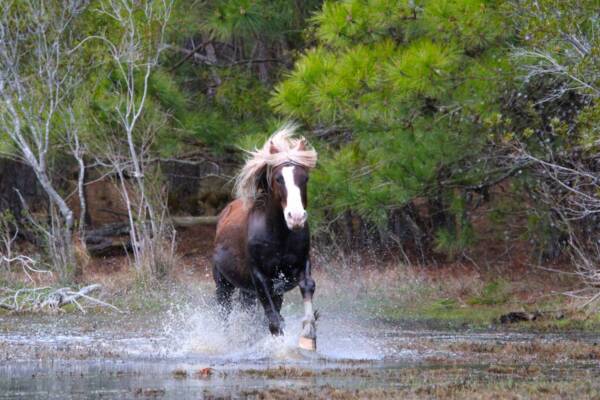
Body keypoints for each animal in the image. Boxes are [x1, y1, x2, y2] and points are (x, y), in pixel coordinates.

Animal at [213, 124, 322, 350]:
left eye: (305, 178)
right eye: (279, 179)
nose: (296, 217)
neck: (279, 236)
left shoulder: (300, 265)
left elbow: (307, 286)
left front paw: (308, 335)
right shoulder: (260, 276)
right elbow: (274, 322)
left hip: (254, 291)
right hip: (224, 284)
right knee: (224, 311)